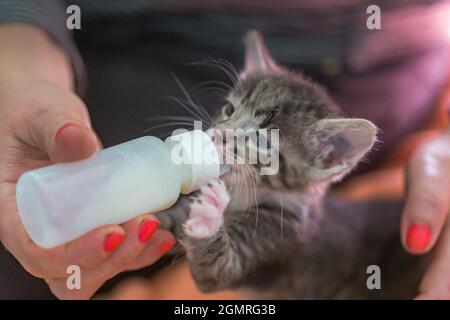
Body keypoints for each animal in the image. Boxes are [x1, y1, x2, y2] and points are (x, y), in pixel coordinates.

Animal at [156, 31, 428, 298]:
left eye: (263, 142)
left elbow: (216, 269)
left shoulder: (275, 240)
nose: (215, 136)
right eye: (229, 109)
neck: (242, 195)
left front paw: (209, 216)